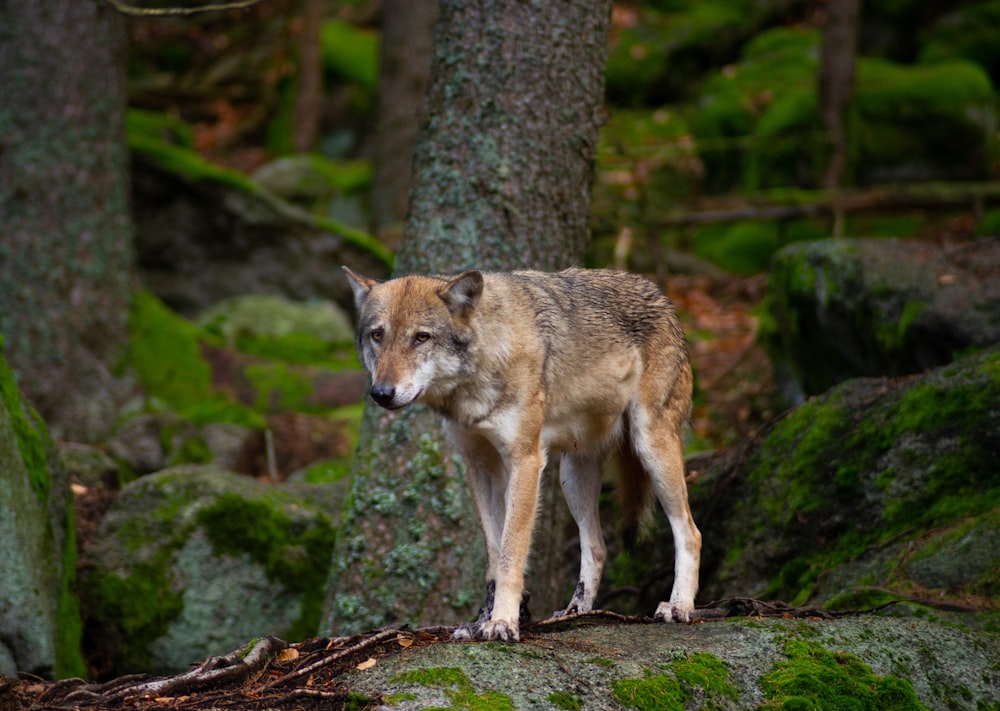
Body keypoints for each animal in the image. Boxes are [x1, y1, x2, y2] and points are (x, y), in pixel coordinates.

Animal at [344, 268, 704, 644]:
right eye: (377, 335)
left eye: (421, 338)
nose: (381, 393)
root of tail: (658, 293)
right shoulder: (479, 467)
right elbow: (493, 555)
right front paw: (481, 622)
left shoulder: (525, 461)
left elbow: (510, 552)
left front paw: (502, 622)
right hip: (572, 477)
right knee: (597, 547)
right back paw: (575, 612)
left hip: (651, 448)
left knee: (690, 532)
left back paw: (679, 606)